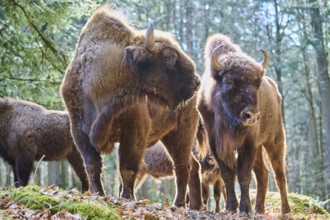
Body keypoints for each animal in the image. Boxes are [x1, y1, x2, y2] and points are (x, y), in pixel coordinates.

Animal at [61, 6, 202, 209]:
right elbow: (92, 165)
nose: (196, 82)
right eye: (170, 57)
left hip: (181, 133)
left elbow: (127, 167)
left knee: (183, 166)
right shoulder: (79, 130)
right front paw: (98, 194)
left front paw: (127, 197)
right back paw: (192, 204)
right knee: (190, 164)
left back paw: (179, 204)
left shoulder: (134, 129)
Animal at [197, 33, 290, 214]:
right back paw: (259, 209)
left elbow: (244, 174)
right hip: (260, 148)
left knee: (279, 173)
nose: (251, 115)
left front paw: (245, 208)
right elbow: (228, 175)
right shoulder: (216, 144)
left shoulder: (248, 143)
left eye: (257, 83)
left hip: (275, 139)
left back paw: (285, 210)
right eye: (228, 82)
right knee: (263, 174)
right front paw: (230, 208)